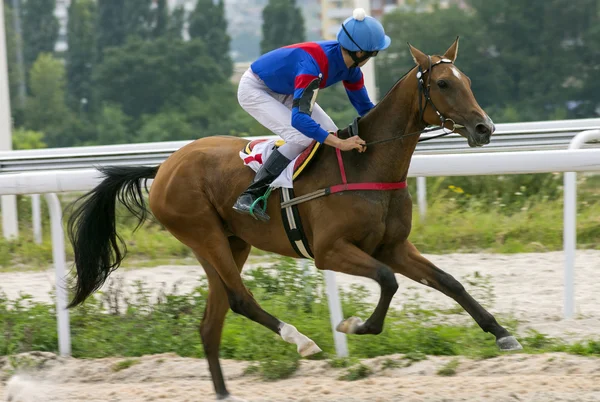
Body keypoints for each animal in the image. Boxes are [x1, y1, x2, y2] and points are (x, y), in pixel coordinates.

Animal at [68, 38, 524, 402]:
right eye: (444, 84)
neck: (368, 164)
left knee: (212, 322)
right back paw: (300, 340)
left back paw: (225, 390)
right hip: (203, 234)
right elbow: (388, 281)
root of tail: (163, 166)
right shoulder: (330, 251)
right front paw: (355, 325)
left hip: (231, 244)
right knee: (240, 300)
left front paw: (502, 332)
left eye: (468, 81)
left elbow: (449, 282)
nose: (484, 128)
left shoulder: (393, 246)